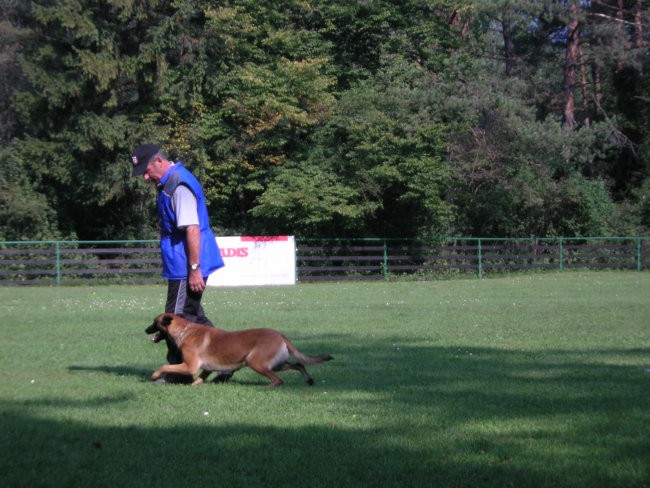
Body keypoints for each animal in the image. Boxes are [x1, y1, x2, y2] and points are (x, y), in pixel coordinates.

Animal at [144, 312, 332, 388]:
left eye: (154, 322)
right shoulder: (205, 368)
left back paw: (267, 387)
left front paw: (154, 376)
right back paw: (309, 380)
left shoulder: (189, 366)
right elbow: (200, 378)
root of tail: (280, 335)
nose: (145, 330)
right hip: (276, 364)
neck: (184, 330)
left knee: (279, 380)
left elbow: (165, 366)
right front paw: (195, 385)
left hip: (255, 362)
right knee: (299, 365)